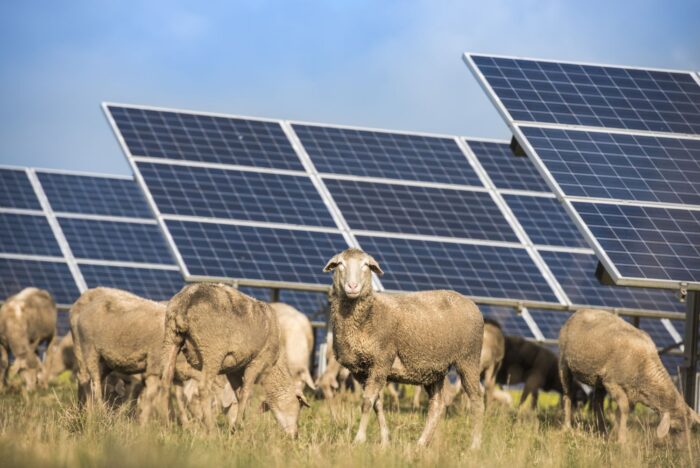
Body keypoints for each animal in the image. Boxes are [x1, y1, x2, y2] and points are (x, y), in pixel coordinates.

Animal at [159, 283, 309, 438]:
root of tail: (186, 301)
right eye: (299, 406)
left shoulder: (234, 369)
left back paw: (166, 428)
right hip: (212, 350)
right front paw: (239, 427)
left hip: (171, 337)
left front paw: (239, 424)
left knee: (165, 380)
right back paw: (211, 431)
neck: (275, 365)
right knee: (204, 387)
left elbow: (239, 394)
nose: (295, 435)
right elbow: (246, 392)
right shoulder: (257, 361)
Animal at [323, 248, 484, 448]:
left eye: (366, 265)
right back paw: (421, 443)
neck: (368, 316)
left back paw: (474, 445)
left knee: (477, 400)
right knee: (437, 405)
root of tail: (470, 303)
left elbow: (367, 402)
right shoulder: (360, 370)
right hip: (433, 368)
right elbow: (376, 404)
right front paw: (385, 440)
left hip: (469, 358)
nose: (352, 286)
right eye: (340, 264)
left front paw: (359, 439)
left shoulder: (382, 360)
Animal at [559, 308, 700, 442]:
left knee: (597, 402)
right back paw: (567, 427)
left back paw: (603, 432)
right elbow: (623, 408)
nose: (686, 450)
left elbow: (621, 412)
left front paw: (615, 435)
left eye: (690, 428)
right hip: (564, 364)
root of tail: (579, 312)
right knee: (568, 394)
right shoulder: (611, 382)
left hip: (598, 378)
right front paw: (622, 440)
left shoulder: (632, 393)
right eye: (676, 428)